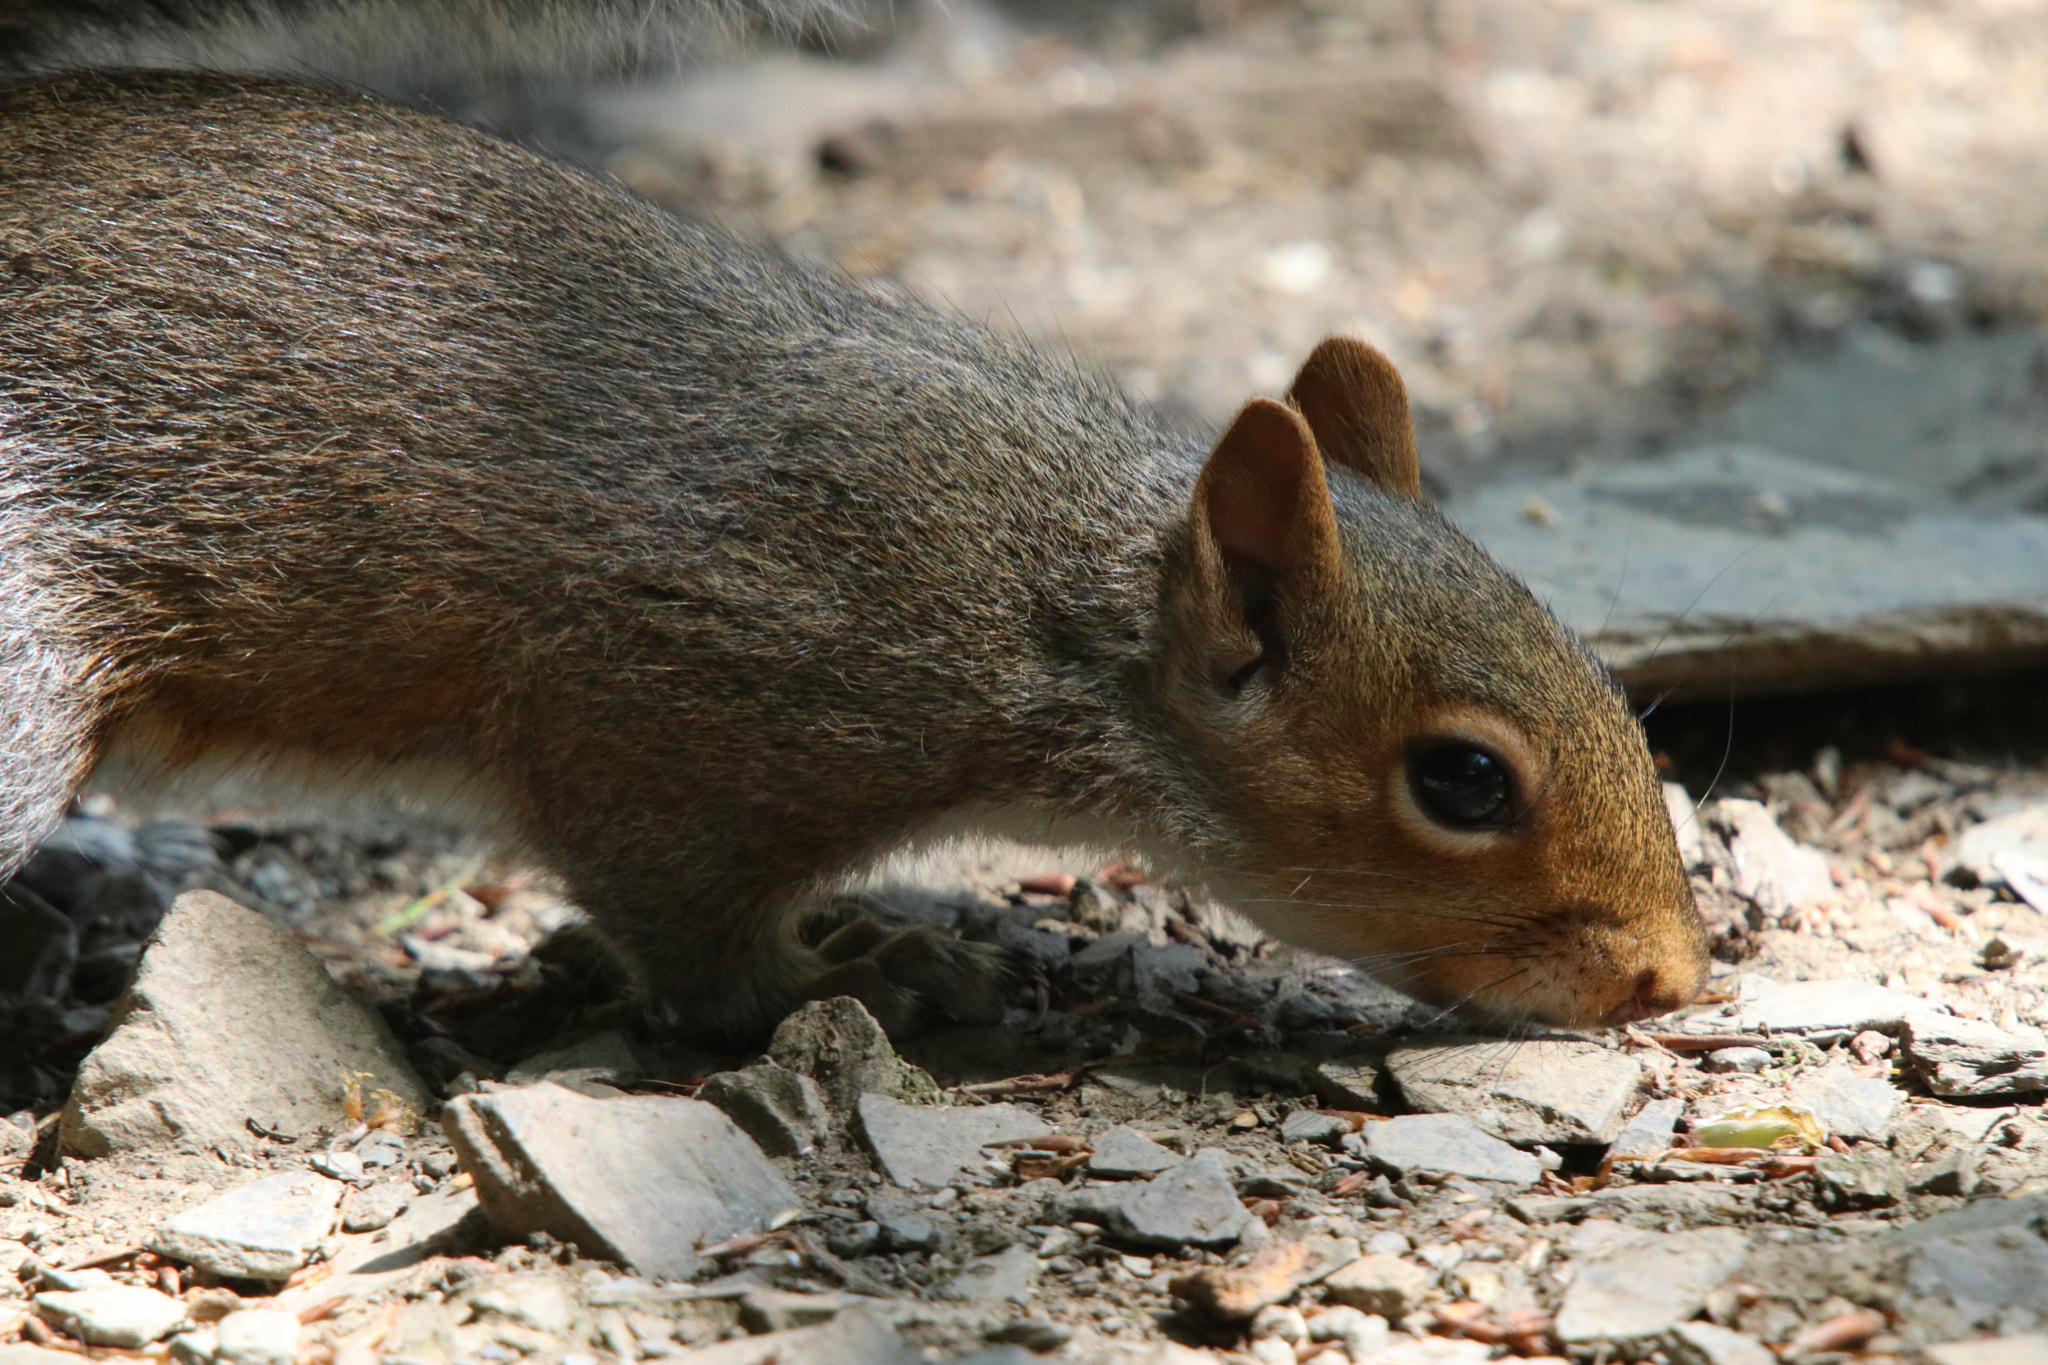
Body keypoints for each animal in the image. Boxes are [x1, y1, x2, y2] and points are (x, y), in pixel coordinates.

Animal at [0, 2, 1708, 1042]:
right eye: (1463, 780)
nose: (1670, 976)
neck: (1027, 594)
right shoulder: (673, 717)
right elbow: (691, 941)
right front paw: (877, 971)